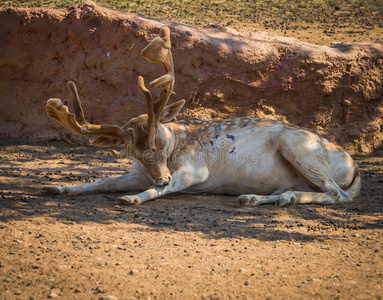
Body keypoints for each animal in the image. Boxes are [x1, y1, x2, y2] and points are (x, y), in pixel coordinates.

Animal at [43, 26, 362, 206]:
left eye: (160, 142)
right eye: (132, 149)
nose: (161, 177)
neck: (176, 146)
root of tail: (354, 167)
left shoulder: (195, 168)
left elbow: (164, 188)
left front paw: (132, 198)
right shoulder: (138, 172)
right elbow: (104, 180)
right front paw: (58, 187)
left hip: (301, 150)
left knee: (339, 195)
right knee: (307, 190)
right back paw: (260, 198)